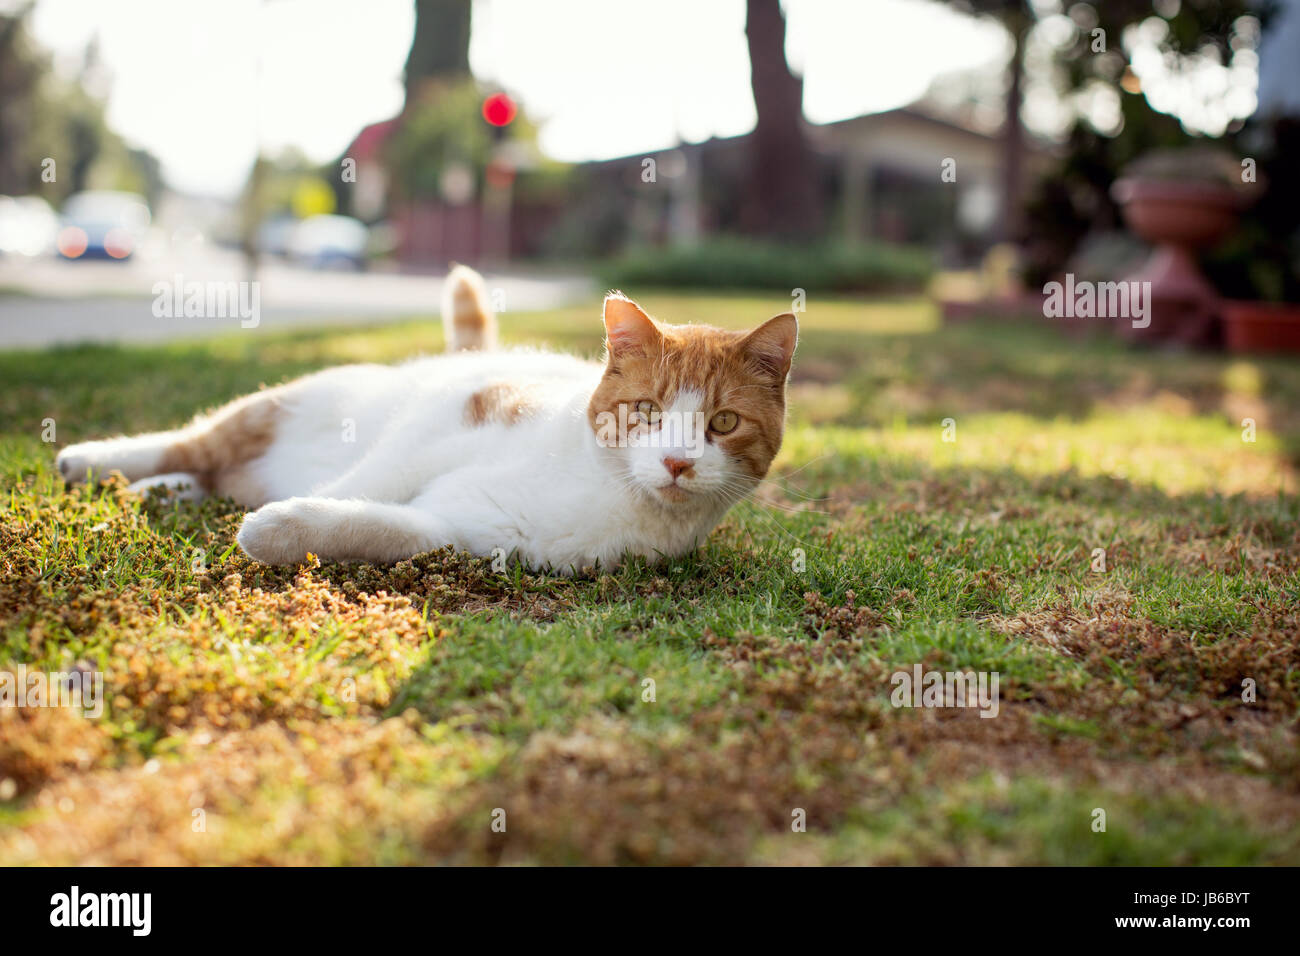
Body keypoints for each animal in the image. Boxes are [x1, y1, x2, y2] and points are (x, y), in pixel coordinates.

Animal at [55, 265, 795, 572]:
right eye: (645, 411)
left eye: (722, 425)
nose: (677, 463)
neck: (604, 484)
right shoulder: (451, 417)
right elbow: (370, 480)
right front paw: (286, 513)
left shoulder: (464, 530)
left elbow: (379, 524)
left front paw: (280, 529)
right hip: (282, 404)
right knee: (191, 443)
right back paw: (101, 463)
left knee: (209, 471)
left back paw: (162, 494)